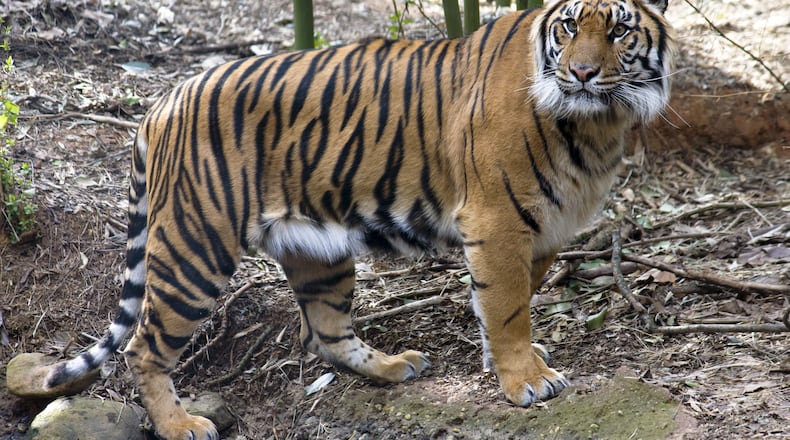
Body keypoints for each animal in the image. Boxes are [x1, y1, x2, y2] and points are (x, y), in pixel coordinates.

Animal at [8, 0, 675, 438]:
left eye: (619, 30)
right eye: (569, 27)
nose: (582, 73)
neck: (596, 121)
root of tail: (162, 101)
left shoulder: (542, 228)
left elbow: (512, 298)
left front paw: (505, 361)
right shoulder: (498, 219)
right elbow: (509, 305)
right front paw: (525, 381)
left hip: (319, 252)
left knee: (324, 332)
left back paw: (392, 367)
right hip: (196, 247)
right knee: (145, 344)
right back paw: (180, 425)